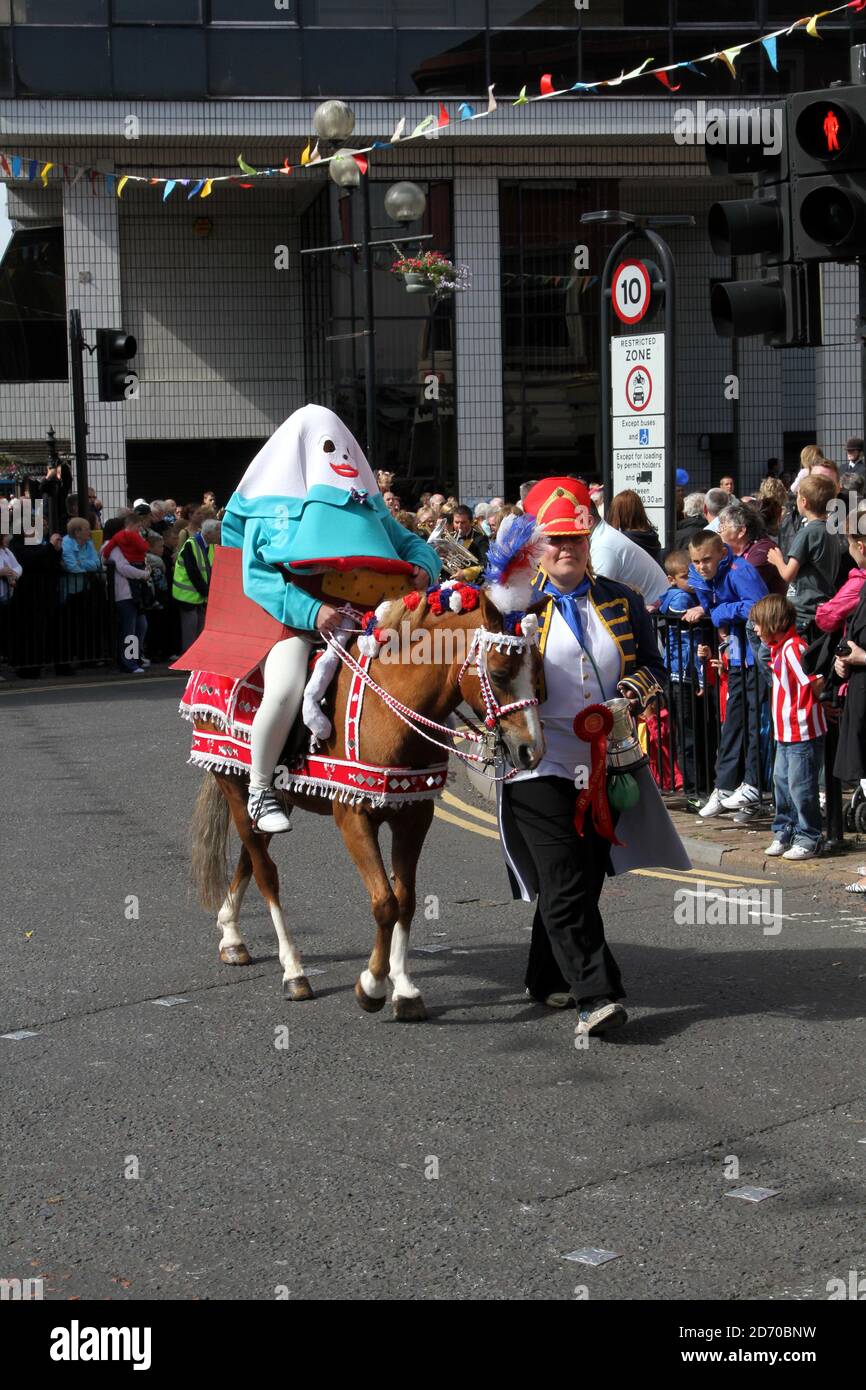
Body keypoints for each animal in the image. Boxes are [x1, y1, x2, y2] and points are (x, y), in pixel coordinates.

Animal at [189, 586, 544, 1023]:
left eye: (539, 670)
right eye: (498, 673)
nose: (531, 751)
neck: (390, 709)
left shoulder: (414, 816)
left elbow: (406, 900)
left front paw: (404, 989)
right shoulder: (354, 817)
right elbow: (385, 903)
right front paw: (372, 985)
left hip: (277, 798)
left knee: (249, 856)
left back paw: (232, 936)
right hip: (235, 785)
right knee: (266, 872)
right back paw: (293, 970)